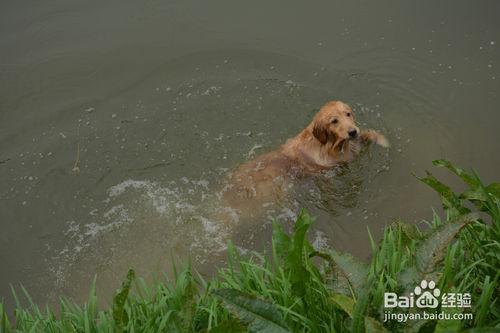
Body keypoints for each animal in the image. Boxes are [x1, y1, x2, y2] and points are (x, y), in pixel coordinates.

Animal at [224, 99, 390, 213]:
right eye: (334, 121)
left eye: (348, 114)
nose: (353, 131)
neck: (324, 143)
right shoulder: (338, 160)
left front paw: (378, 137)